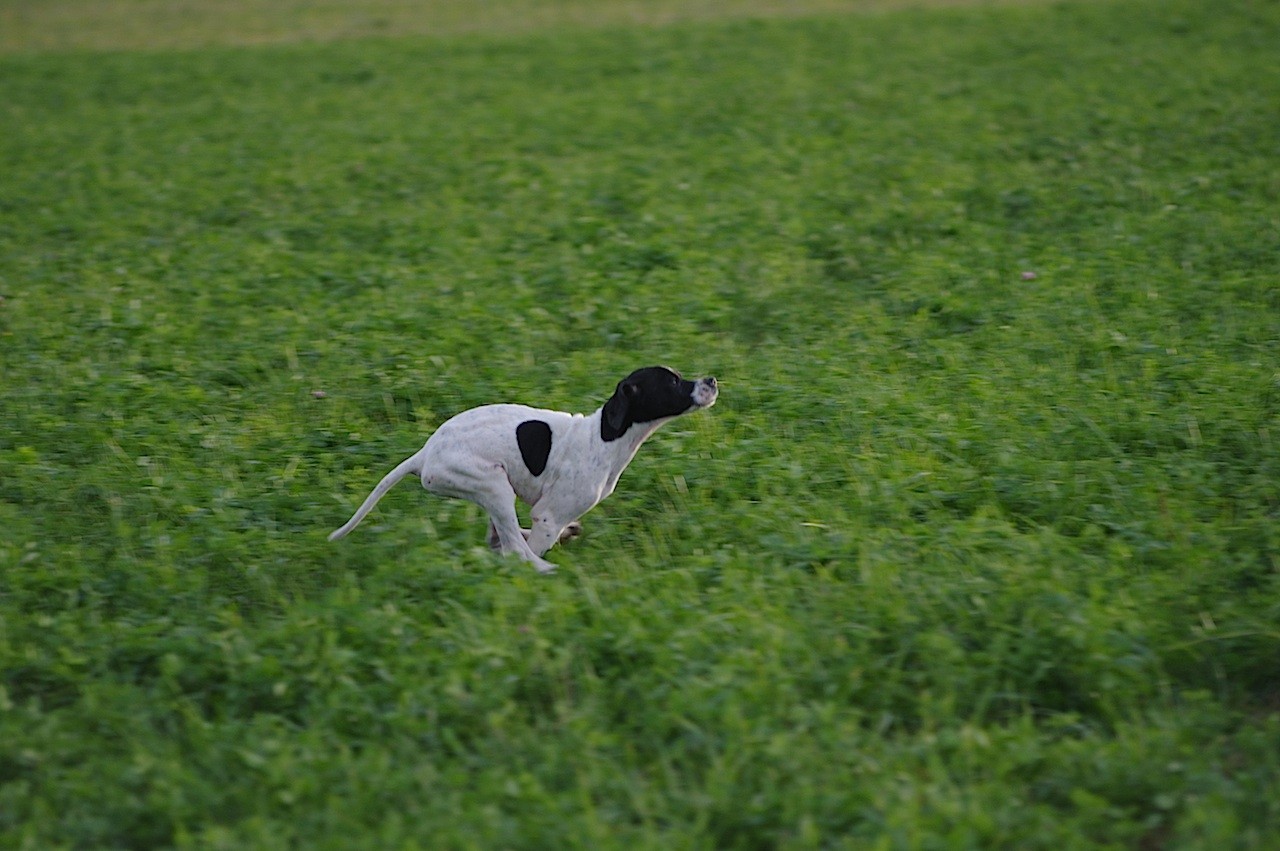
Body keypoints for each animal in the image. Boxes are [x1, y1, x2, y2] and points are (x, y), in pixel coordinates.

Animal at [325, 363, 716, 570]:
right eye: (672, 381)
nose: (711, 380)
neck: (603, 439)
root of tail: (425, 453)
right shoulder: (548, 516)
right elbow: (533, 544)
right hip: (495, 485)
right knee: (514, 549)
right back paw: (545, 569)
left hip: (492, 492)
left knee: (501, 537)